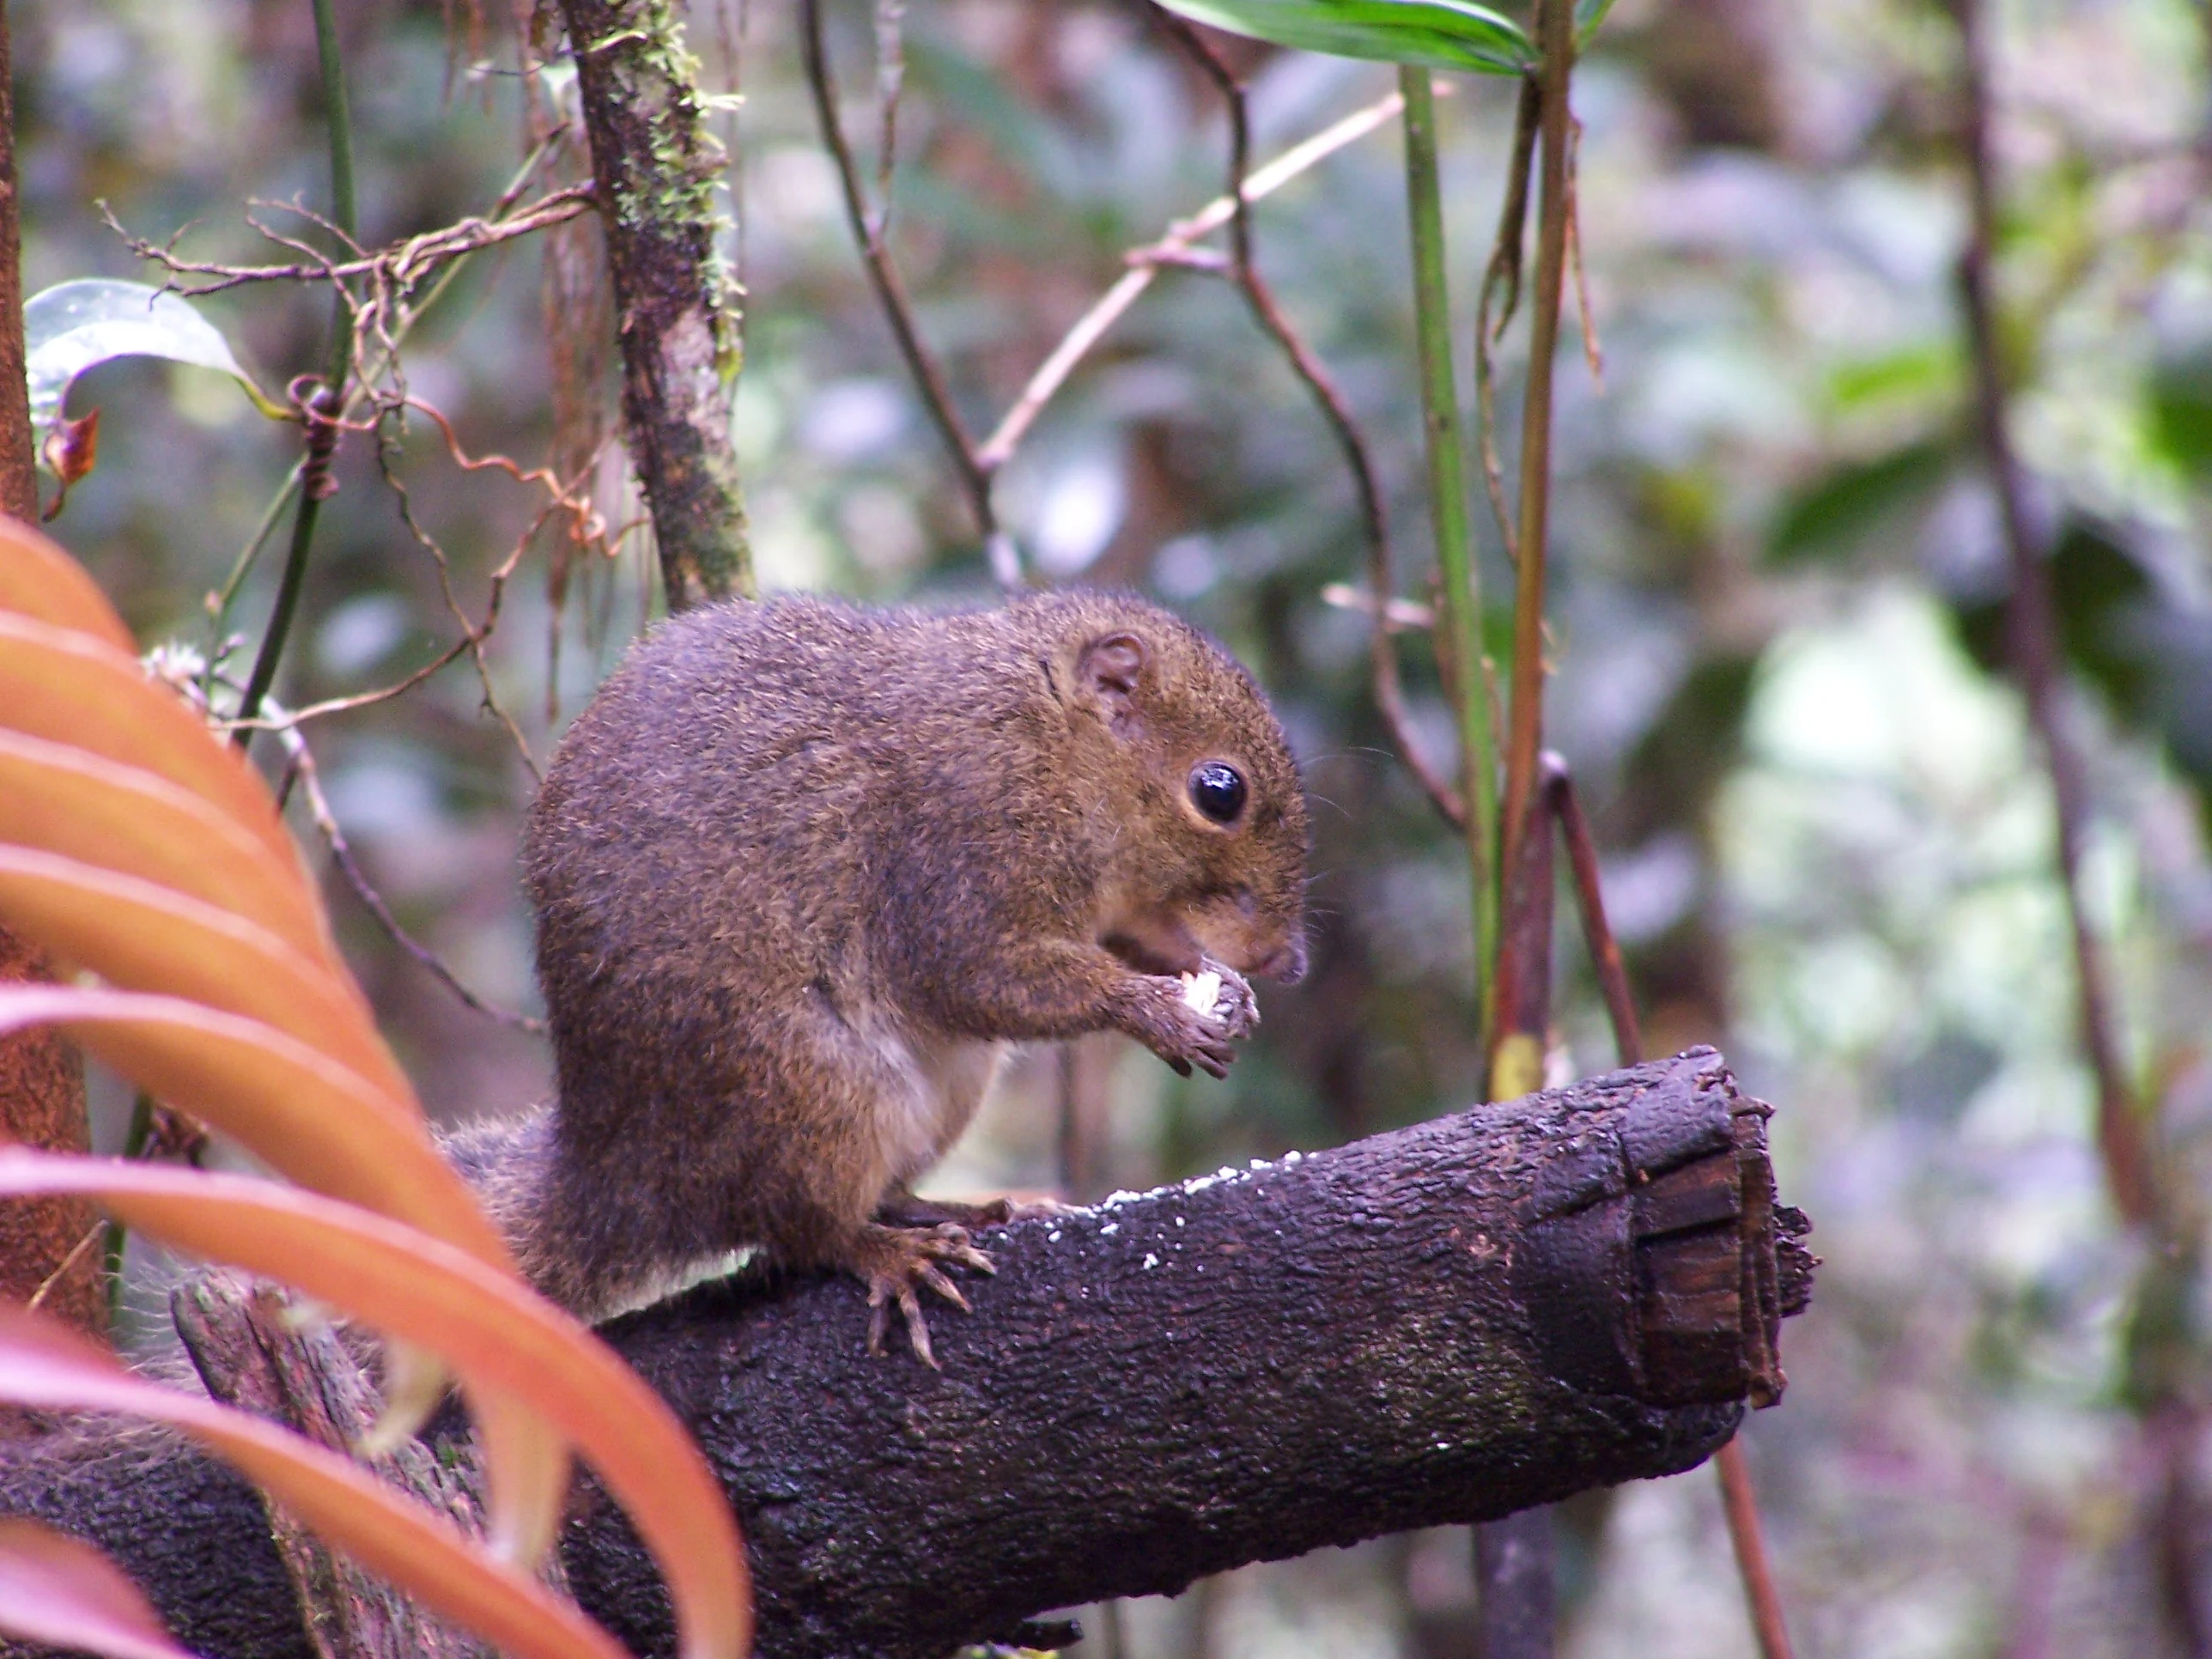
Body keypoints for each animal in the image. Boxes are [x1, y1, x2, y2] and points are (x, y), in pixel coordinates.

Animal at [444, 589, 1309, 1362]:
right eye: (1219, 790)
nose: (1288, 958)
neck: (1052, 739)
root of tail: (620, 1171)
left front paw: (1217, 986)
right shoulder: (961, 838)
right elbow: (981, 976)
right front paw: (1158, 1012)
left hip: (942, 1091)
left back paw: (959, 1207)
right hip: (810, 1093)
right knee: (802, 1231)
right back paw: (891, 1253)